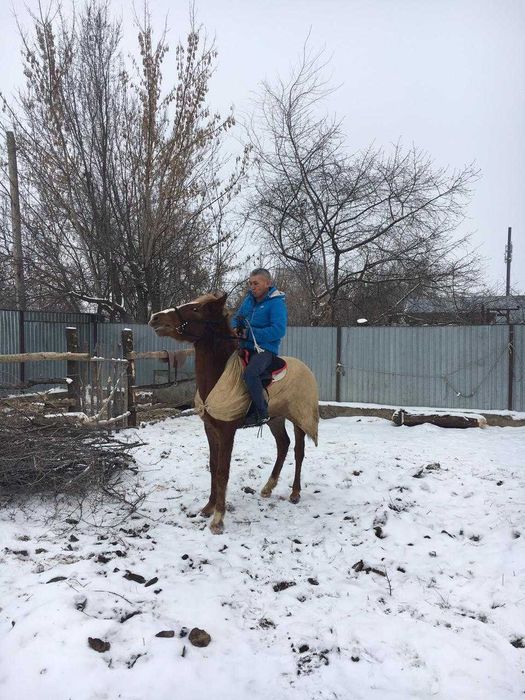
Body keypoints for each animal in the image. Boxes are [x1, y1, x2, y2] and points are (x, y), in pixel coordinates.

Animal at [149, 292, 319, 534]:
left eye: (196, 309)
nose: (155, 317)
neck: (219, 375)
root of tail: (306, 369)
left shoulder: (227, 431)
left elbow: (223, 470)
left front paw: (218, 518)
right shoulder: (210, 429)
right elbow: (213, 466)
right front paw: (208, 507)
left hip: (299, 417)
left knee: (298, 451)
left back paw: (295, 493)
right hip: (274, 419)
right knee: (283, 445)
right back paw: (268, 487)